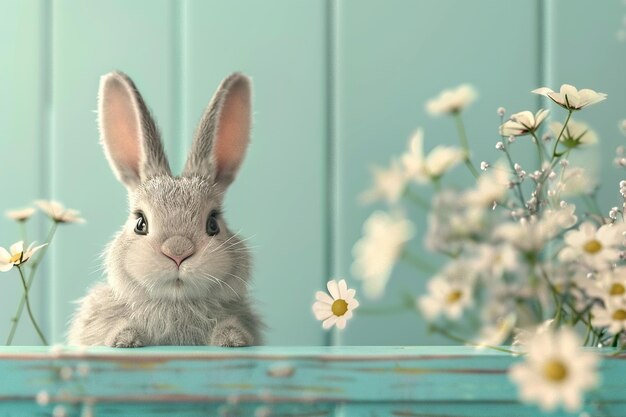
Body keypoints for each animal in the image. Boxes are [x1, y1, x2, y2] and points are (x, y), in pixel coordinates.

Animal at [67, 70, 262, 346]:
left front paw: (233, 339)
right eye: (140, 223)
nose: (177, 252)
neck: (176, 302)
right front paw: (125, 340)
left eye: (213, 223)